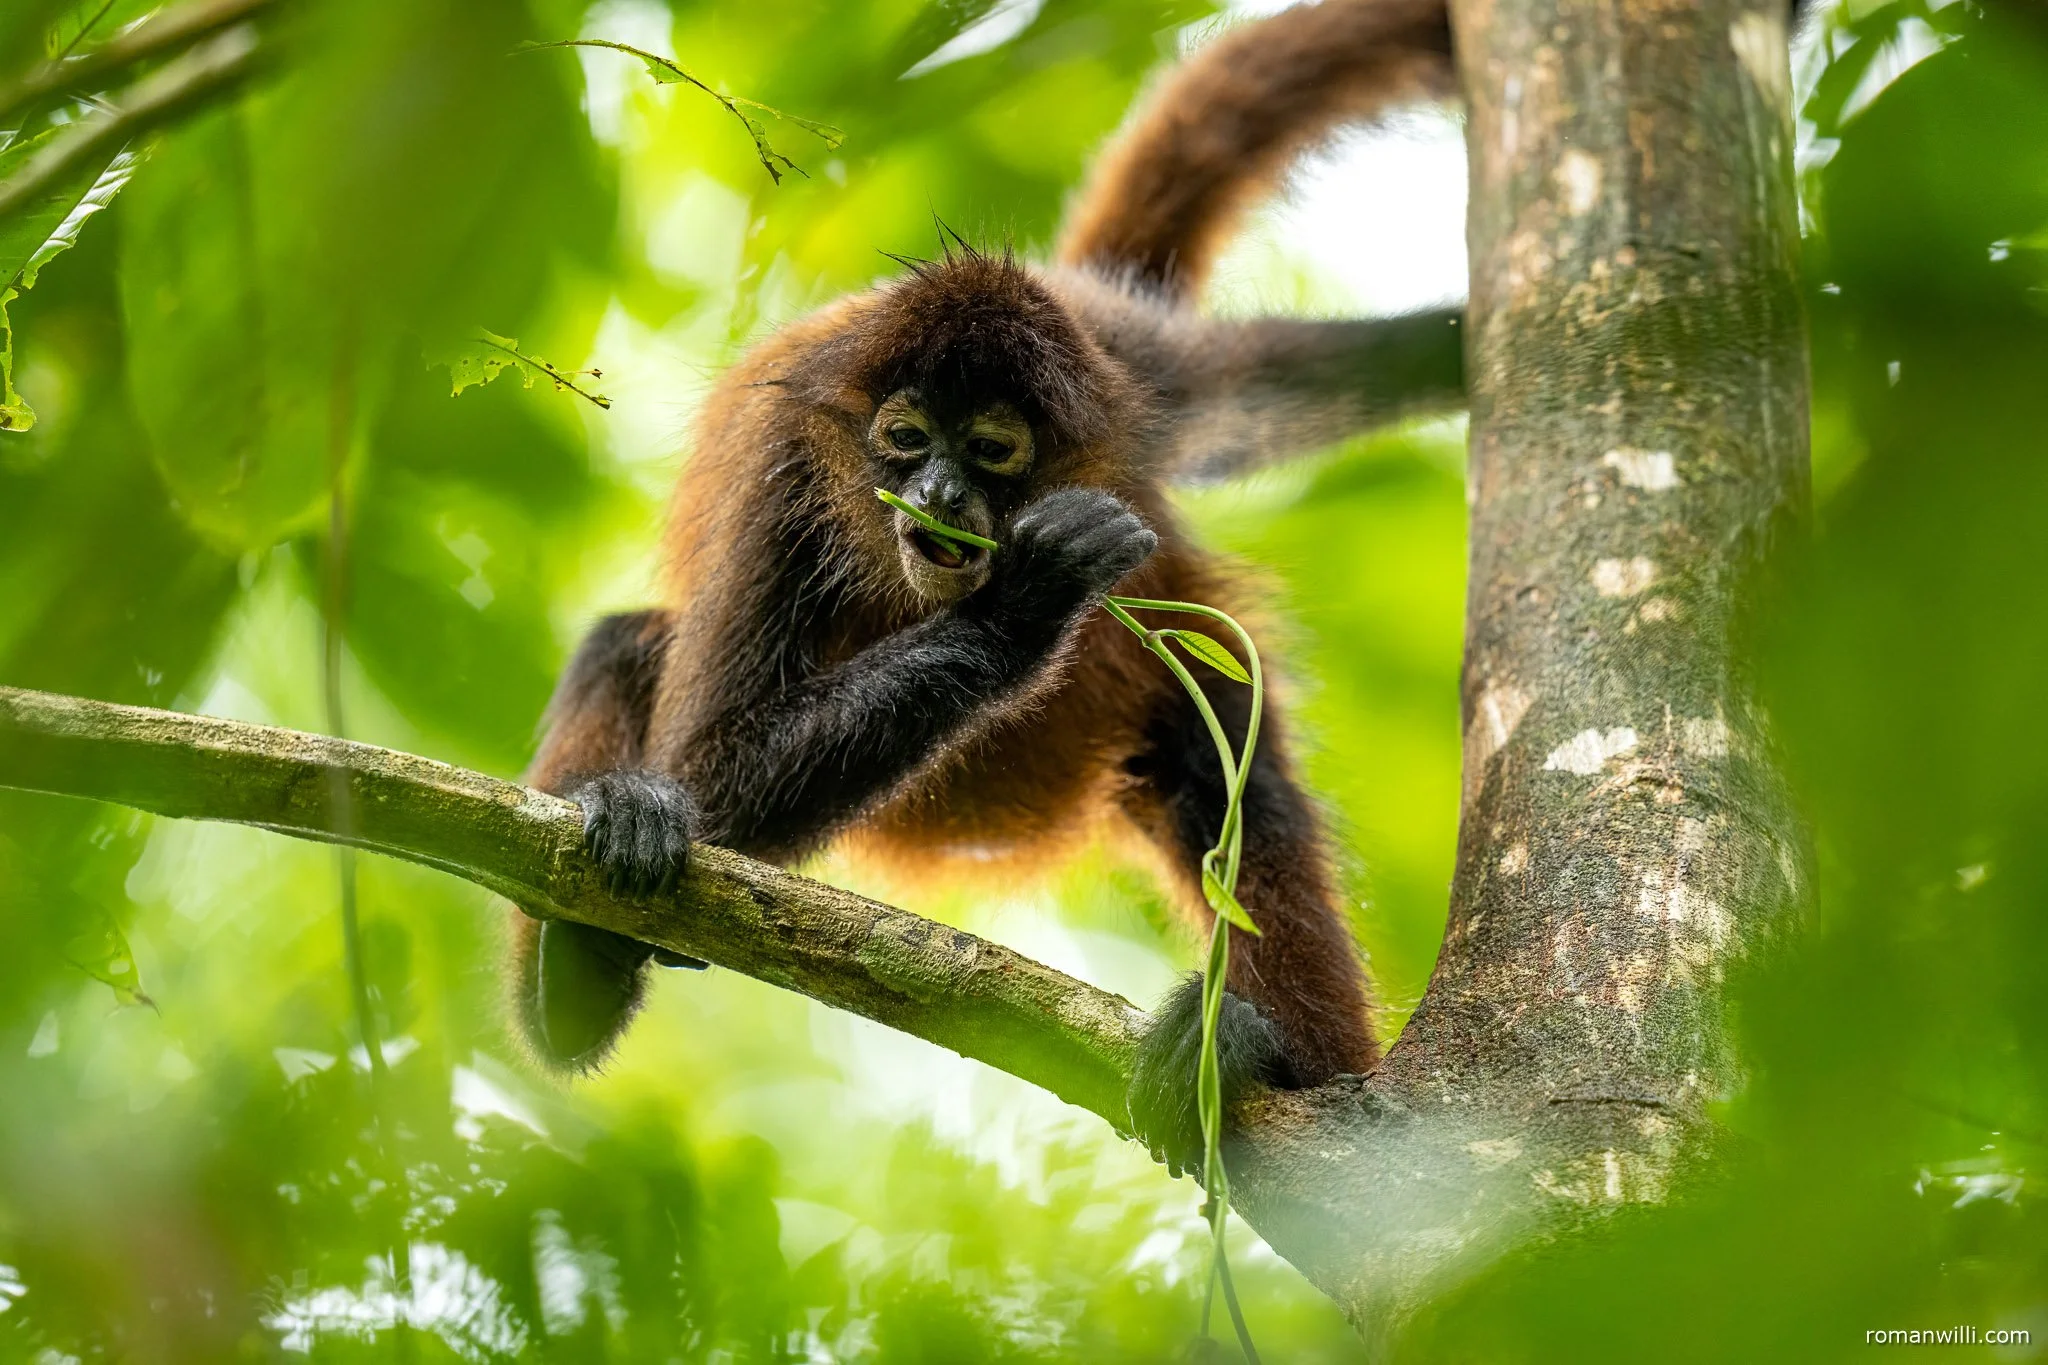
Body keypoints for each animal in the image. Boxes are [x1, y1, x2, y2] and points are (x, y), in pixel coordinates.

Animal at [510, 0, 1469, 1172]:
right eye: (907, 438)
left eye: (991, 449)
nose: (936, 492)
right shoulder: (781, 469)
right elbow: (710, 768)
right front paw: (1023, 604)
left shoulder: (1135, 378)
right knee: (623, 649)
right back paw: (576, 980)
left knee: (1227, 769)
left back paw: (1274, 1054)